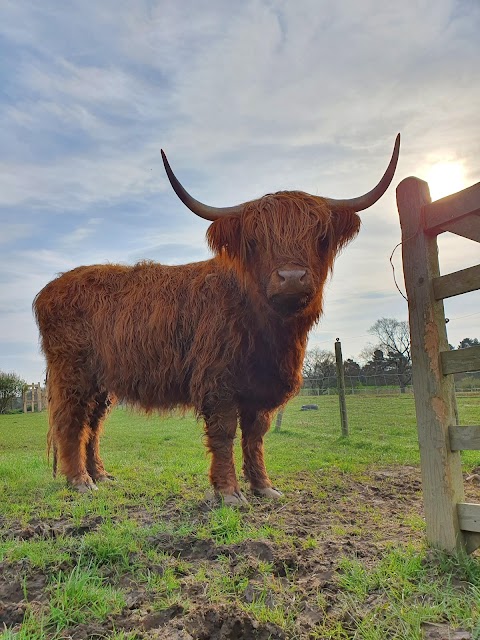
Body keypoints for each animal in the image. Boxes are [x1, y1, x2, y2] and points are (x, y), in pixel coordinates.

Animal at [33, 136, 400, 504]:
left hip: (101, 383)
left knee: (93, 425)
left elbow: (256, 435)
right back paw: (80, 481)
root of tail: (51, 287)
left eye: (320, 237)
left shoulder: (260, 387)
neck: (269, 331)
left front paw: (263, 486)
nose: (292, 278)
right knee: (72, 422)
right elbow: (224, 433)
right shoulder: (217, 381)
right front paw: (228, 492)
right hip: (73, 374)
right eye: (255, 240)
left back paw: (101, 475)